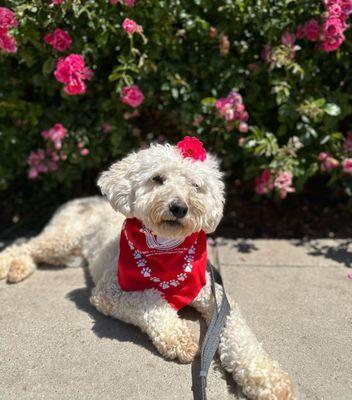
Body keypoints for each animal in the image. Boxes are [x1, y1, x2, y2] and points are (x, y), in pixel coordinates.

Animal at [0, 139, 294, 398]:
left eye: (195, 185)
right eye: (158, 179)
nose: (179, 207)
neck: (165, 250)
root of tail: (80, 199)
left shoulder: (217, 298)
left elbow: (239, 335)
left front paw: (268, 380)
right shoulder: (110, 292)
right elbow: (152, 301)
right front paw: (179, 337)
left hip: (69, 254)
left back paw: (18, 268)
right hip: (63, 239)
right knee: (26, 245)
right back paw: (9, 265)